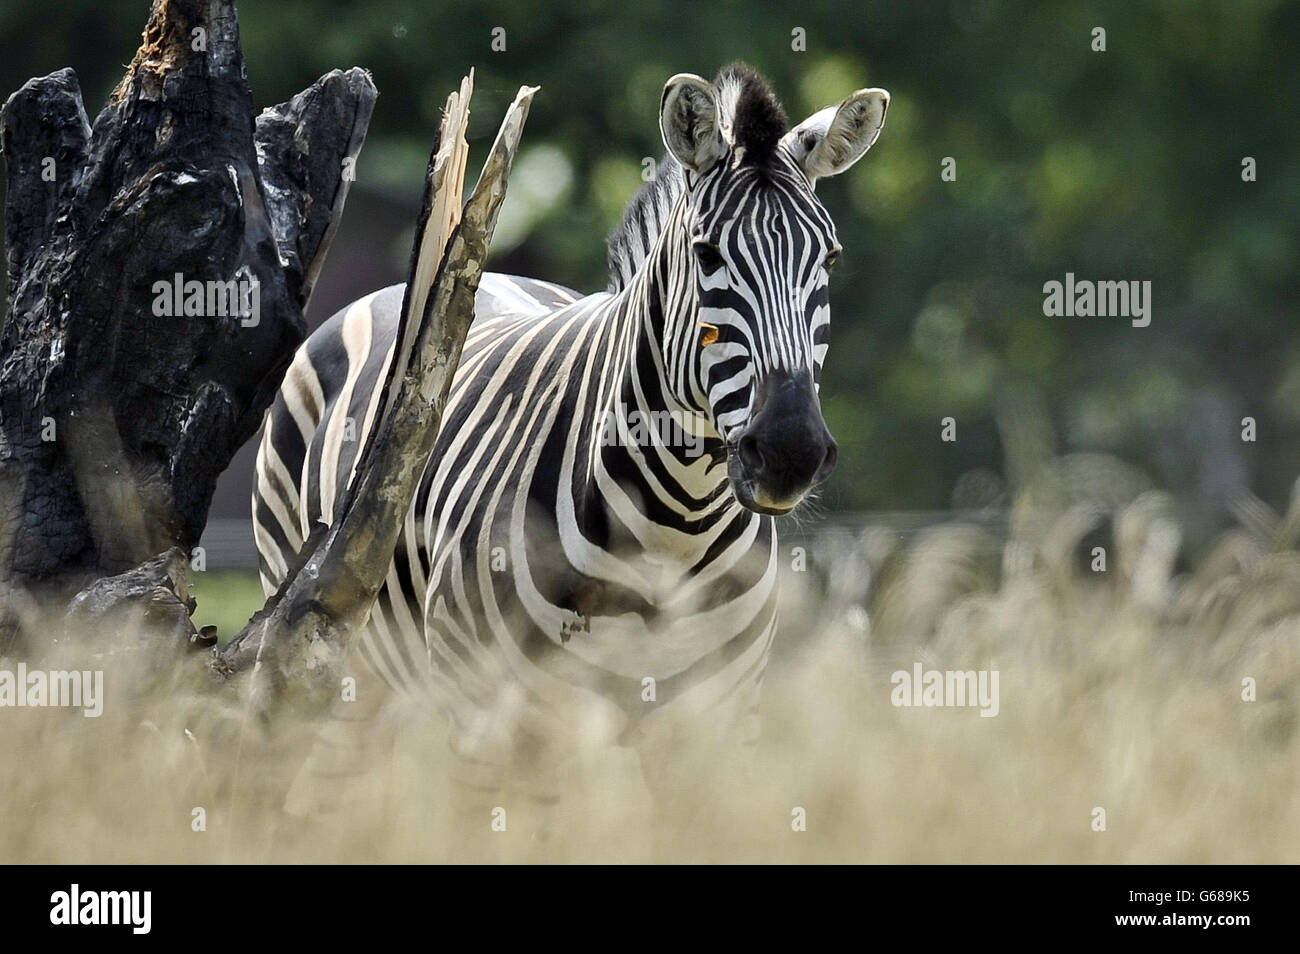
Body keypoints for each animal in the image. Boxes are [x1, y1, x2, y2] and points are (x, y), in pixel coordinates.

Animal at [248, 65, 889, 816]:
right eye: (706, 254)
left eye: (830, 259)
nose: (791, 451)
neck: (674, 531)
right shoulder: (494, 719)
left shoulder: (718, 726)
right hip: (330, 654)